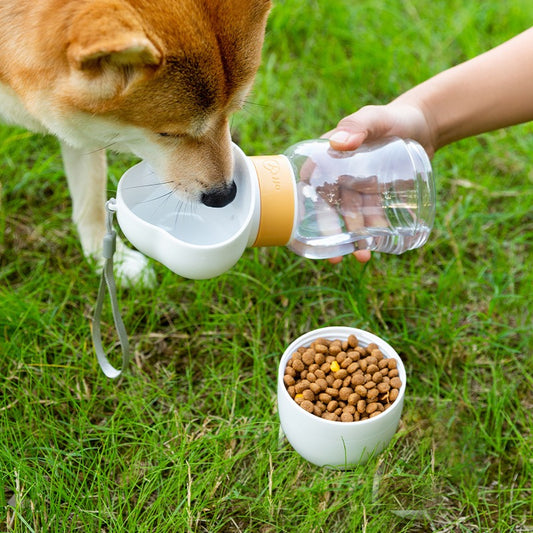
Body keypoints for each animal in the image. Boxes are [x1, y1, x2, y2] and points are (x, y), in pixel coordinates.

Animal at [0, 0, 272, 282]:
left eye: (233, 112)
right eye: (168, 134)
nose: (224, 196)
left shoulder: (81, 130)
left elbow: (91, 196)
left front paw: (109, 260)